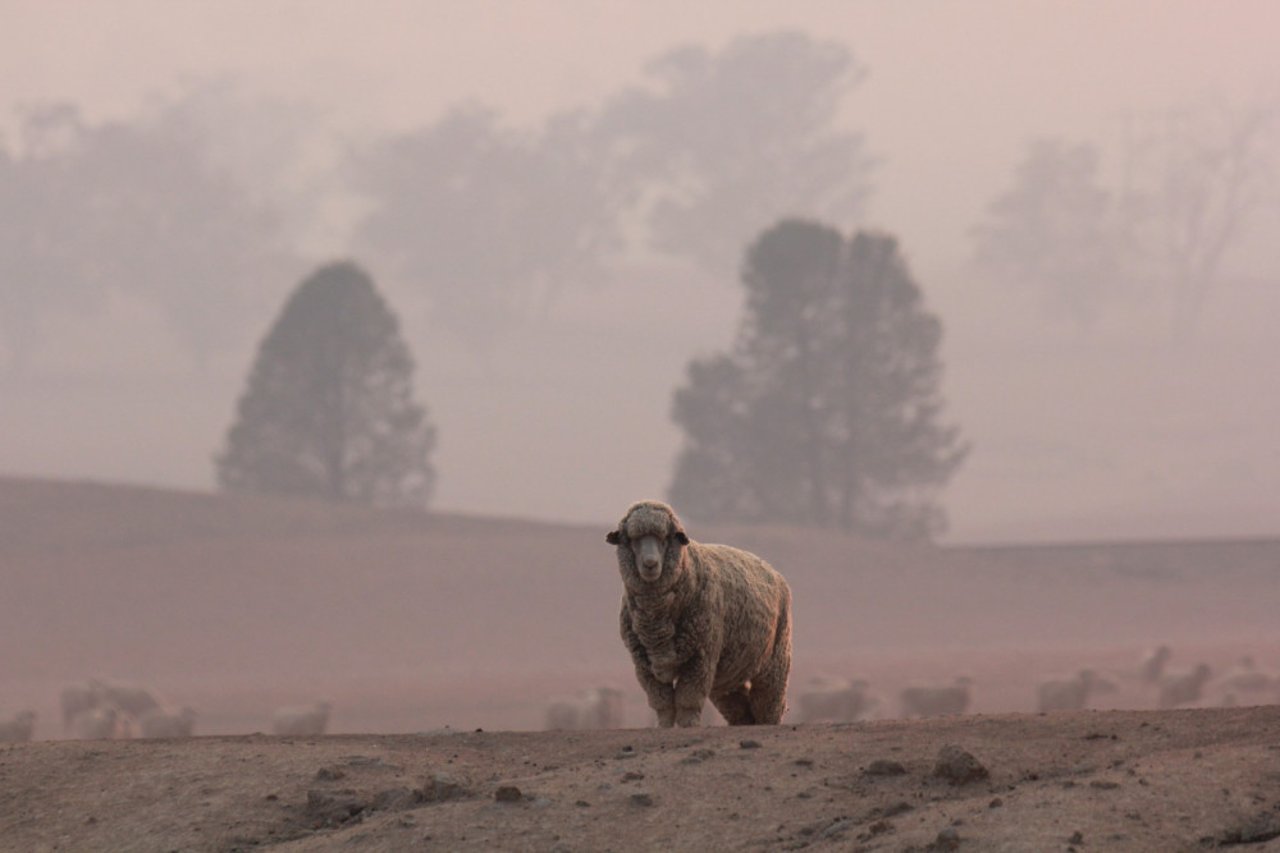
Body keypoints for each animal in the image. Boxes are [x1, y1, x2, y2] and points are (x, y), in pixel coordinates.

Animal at [606, 499, 788, 722]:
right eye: (632, 540)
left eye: (665, 539)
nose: (650, 564)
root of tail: (772, 569)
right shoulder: (644, 664)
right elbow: (663, 706)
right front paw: (664, 726)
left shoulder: (700, 658)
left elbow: (687, 701)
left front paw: (688, 724)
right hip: (728, 673)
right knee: (739, 709)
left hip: (775, 661)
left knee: (768, 704)